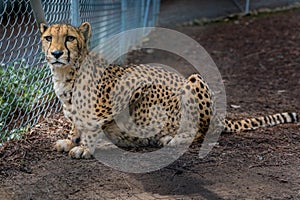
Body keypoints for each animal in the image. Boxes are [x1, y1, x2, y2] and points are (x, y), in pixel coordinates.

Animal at [39, 21, 298, 159]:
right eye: (48, 37)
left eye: (70, 38)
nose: (57, 53)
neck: (66, 74)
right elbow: (77, 124)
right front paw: (71, 140)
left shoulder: (129, 87)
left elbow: (93, 123)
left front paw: (85, 147)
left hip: (194, 79)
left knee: (202, 131)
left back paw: (171, 138)